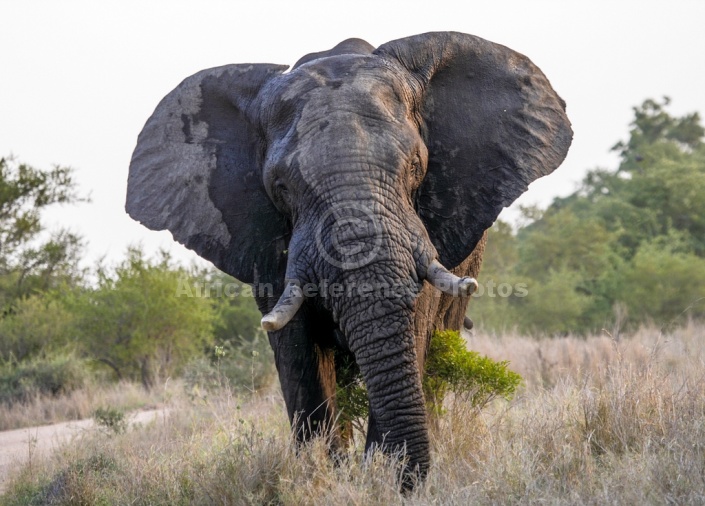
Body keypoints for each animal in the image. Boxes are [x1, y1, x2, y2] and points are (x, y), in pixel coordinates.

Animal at [126, 31, 572, 486]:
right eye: (281, 187)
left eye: (416, 166)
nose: (403, 478)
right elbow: (296, 347)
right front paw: (324, 475)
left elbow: (414, 325)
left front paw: (382, 475)